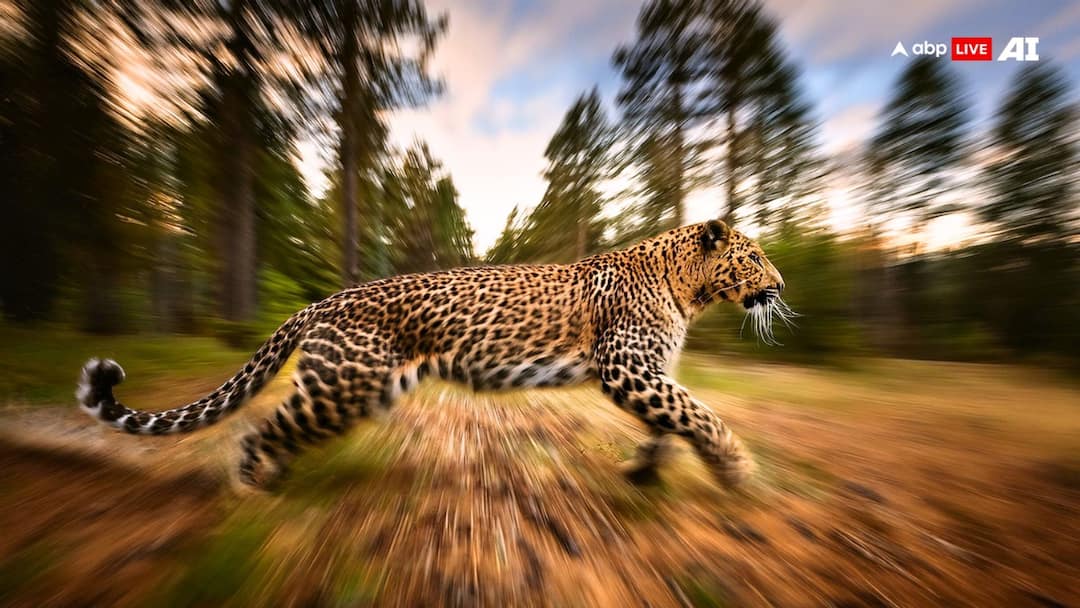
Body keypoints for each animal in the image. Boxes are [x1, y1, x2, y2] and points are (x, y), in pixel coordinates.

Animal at [77, 219, 788, 489]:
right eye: (753, 258)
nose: (780, 286)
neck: (689, 290)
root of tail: (322, 301)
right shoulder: (628, 367)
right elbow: (699, 414)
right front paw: (736, 468)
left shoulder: (647, 373)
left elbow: (673, 419)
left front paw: (647, 469)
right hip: (343, 385)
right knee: (261, 428)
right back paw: (255, 490)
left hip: (363, 389)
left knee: (277, 426)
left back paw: (271, 478)